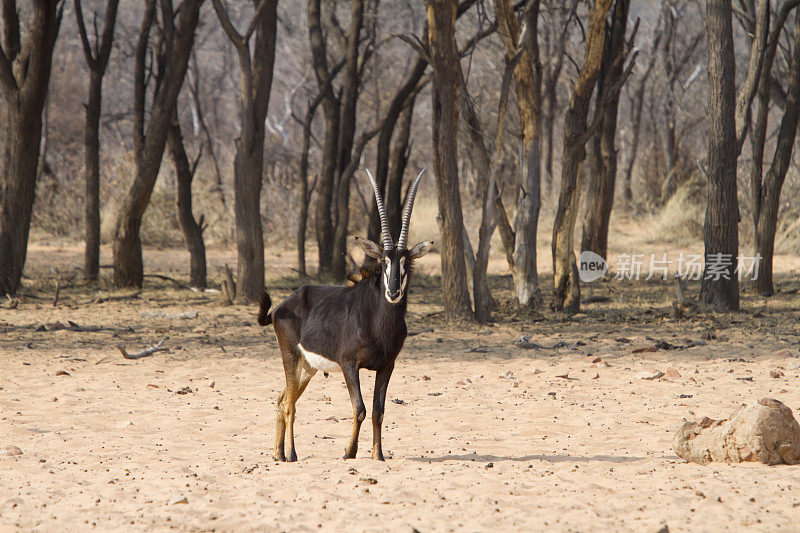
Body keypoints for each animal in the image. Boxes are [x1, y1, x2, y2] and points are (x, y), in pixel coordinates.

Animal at [260, 168, 432, 460]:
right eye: (383, 261)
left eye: (406, 262)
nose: (394, 291)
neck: (377, 321)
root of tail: (279, 308)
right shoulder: (349, 364)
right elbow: (360, 408)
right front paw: (349, 452)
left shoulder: (387, 366)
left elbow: (378, 411)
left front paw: (378, 454)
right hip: (290, 358)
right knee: (290, 405)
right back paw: (291, 454)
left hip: (307, 367)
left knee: (282, 399)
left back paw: (278, 454)